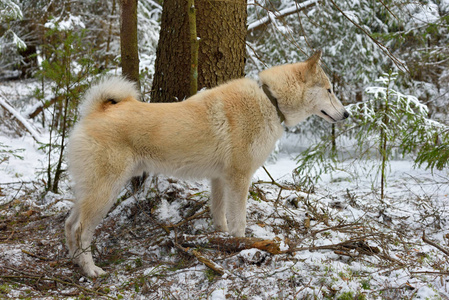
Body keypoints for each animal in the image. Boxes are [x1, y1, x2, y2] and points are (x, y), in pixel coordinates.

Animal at [65, 49, 348, 276]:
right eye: (330, 90)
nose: (347, 114)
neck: (270, 100)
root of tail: (96, 112)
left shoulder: (220, 180)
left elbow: (220, 216)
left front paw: (222, 240)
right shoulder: (239, 179)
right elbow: (239, 221)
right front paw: (243, 246)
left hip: (90, 191)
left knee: (69, 225)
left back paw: (75, 262)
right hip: (104, 192)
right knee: (80, 230)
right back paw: (91, 270)